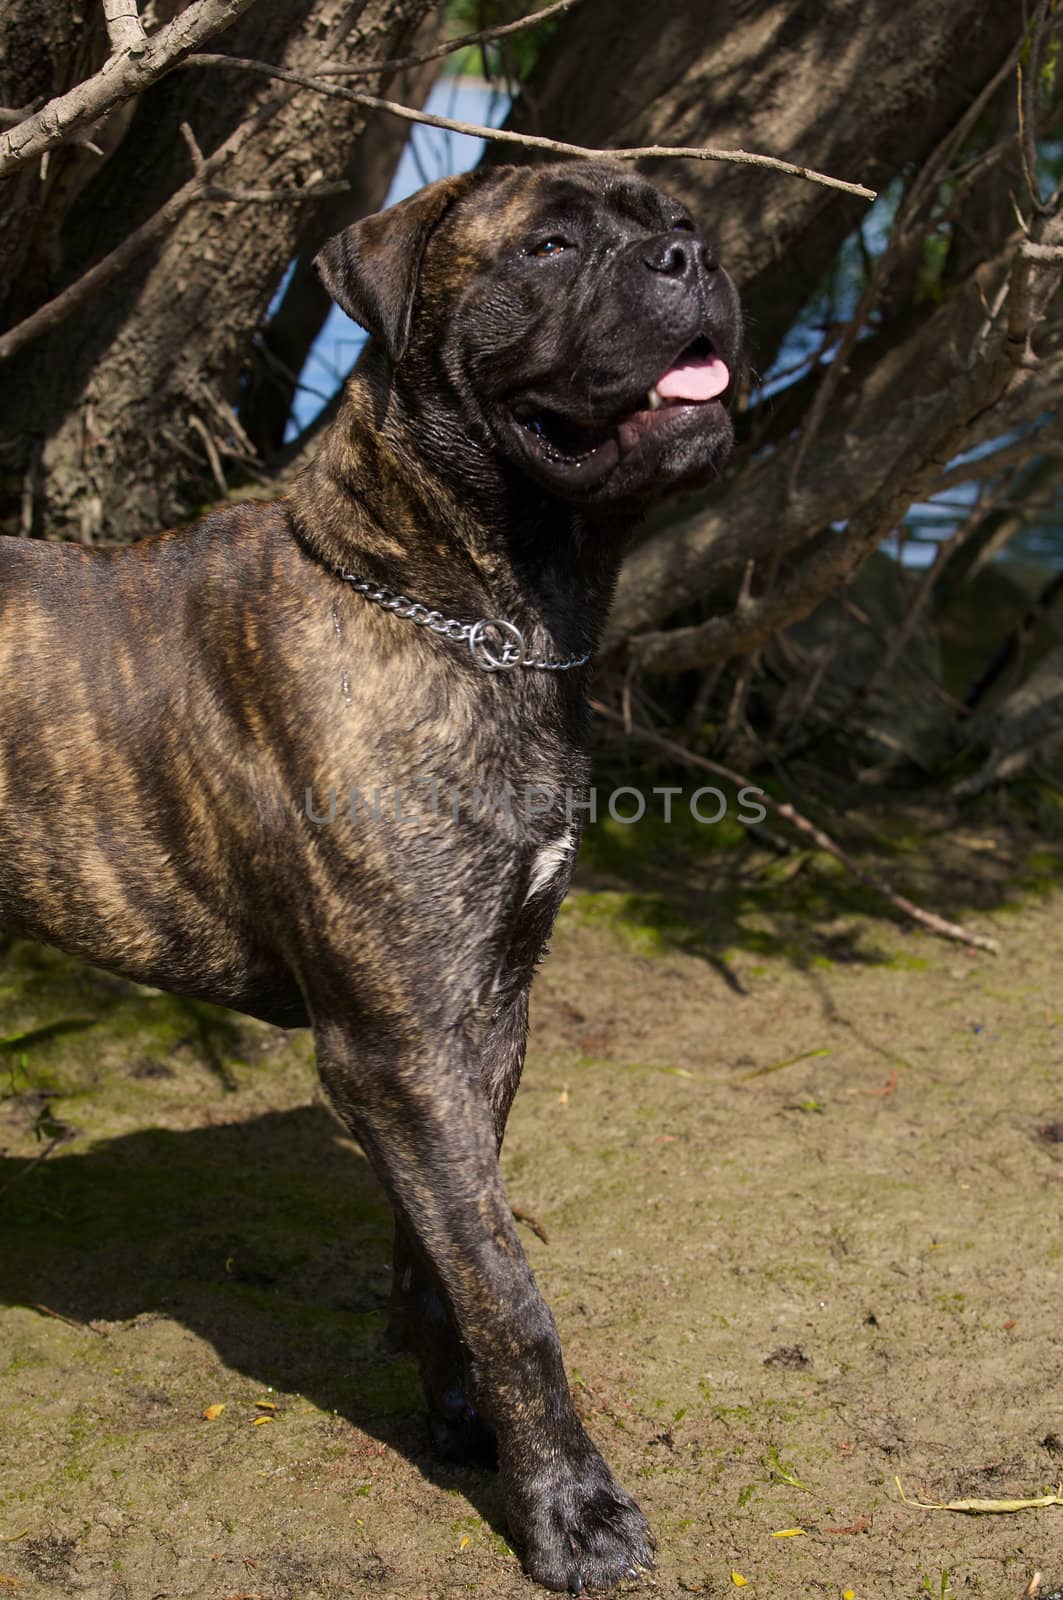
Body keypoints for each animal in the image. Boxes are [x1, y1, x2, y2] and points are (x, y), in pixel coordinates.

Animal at [0, 159, 742, 1587]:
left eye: (677, 217)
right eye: (549, 245)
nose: (695, 259)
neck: (465, 605)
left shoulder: (478, 1015)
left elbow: (448, 1248)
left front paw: (462, 1425)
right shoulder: (395, 1044)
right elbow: (512, 1294)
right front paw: (571, 1511)